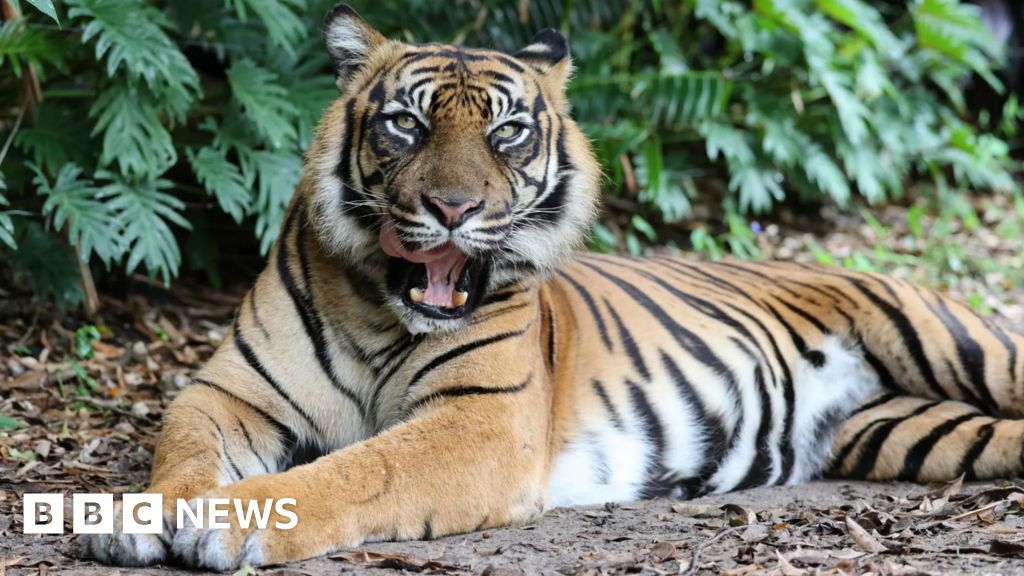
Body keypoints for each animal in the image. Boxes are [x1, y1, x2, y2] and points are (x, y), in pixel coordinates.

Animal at [81, 3, 1024, 569]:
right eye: (406, 124)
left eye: (507, 133)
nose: (452, 208)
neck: (382, 311)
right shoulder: (228, 392)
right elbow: (185, 451)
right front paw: (143, 516)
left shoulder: (482, 424)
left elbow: (354, 471)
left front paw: (233, 520)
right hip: (912, 431)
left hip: (961, 344)